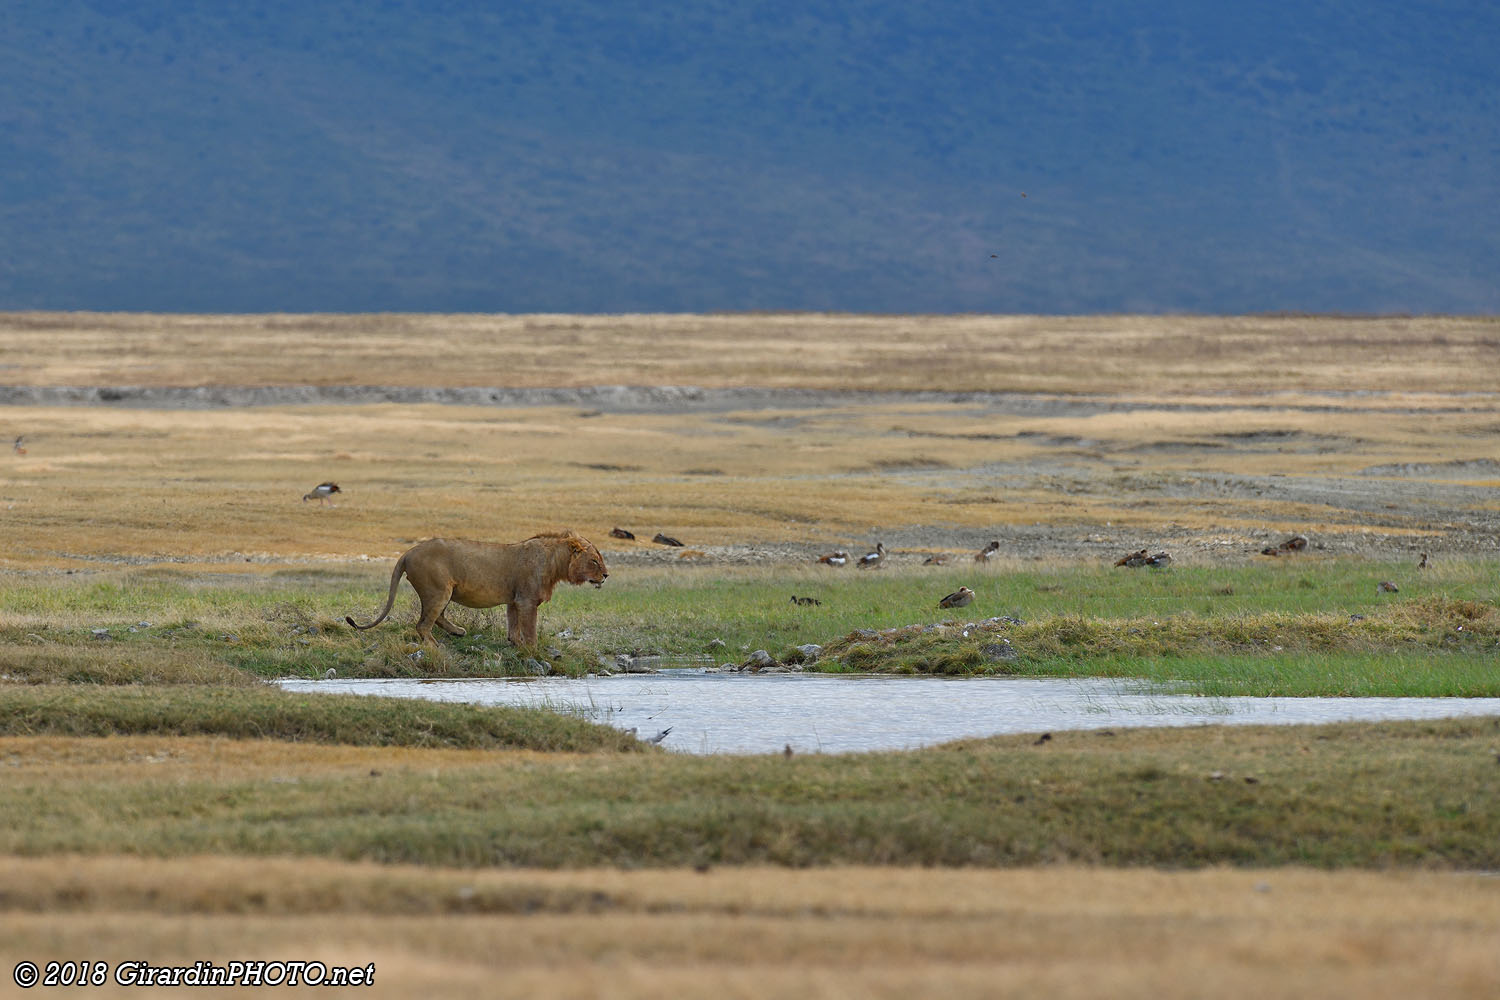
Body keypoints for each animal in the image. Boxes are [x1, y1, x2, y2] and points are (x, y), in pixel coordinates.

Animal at [345, 531, 607, 646]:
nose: (606, 575)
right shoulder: (527, 600)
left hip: (443, 591)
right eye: (595, 561)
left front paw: (516, 644)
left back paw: (458, 632)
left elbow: (514, 626)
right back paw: (435, 645)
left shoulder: (514, 600)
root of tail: (408, 552)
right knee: (423, 624)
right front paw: (533, 650)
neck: (555, 563)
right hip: (438, 589)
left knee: (436, 617)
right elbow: (530, 629)